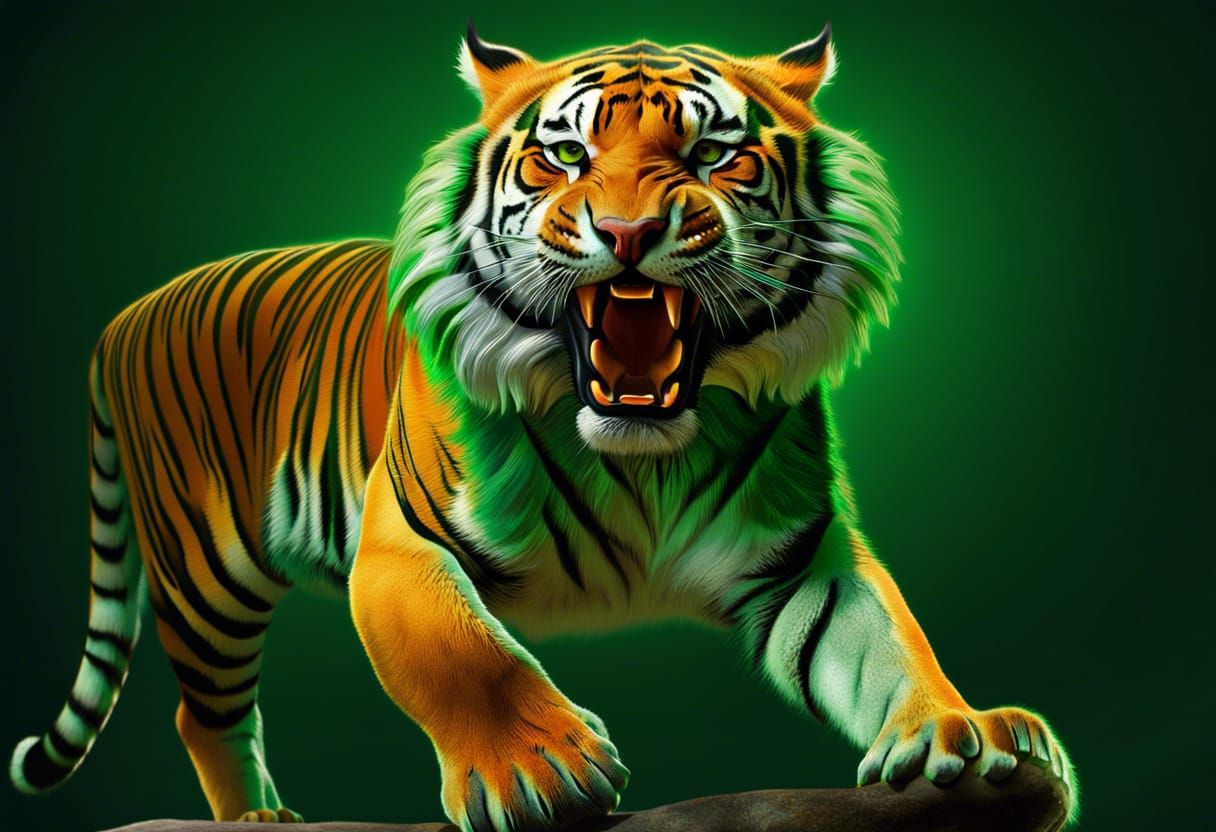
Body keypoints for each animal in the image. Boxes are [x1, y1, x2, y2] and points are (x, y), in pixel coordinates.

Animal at [10, 22, 1076, 831]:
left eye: (712, 154)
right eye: (566, 156)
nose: (630, 233)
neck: (645, 457)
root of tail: (125, 315)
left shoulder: (804, 558)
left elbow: (889, 638)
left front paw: (964, 737)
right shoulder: (399, 544)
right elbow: (462, 654)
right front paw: (542, 770)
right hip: (204, 576)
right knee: (202, 716)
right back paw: (260, 819)